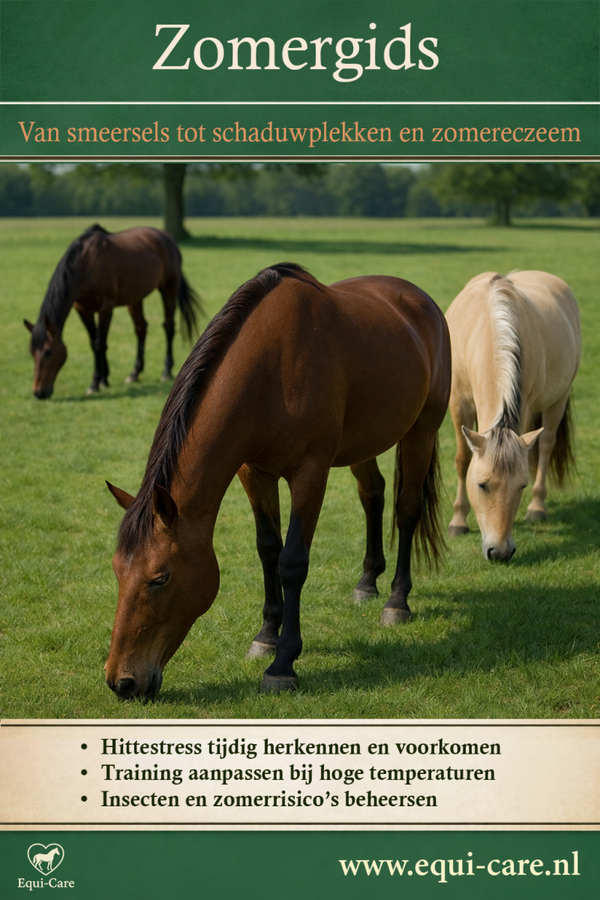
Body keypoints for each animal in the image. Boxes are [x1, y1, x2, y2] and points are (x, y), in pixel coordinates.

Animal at [24, 224, 200, 398]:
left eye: (48, 352)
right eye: (31, 352)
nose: (39, 392)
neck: (87, 264)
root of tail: (167, 237)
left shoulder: (105, 307)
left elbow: (100, 343)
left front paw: (96, 383)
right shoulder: (83, 309)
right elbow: (94, 343)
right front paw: (103, 379)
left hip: (168, 288)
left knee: (168, 326)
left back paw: (166, 371)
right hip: (135, 298)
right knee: (141, 329)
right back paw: (134, 373)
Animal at [105, 263, 451, 700]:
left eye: (159, 578)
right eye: (117, 571)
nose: (121, 682)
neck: (271, 369)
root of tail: (420, 300)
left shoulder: (310, 473)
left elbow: (292, 562)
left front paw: (283, 663)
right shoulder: (254, 473)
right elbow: (268, 549)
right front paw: (266, 636)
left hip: (422, 430)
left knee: (407, 511)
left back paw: (396, 602)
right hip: (364, 442)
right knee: (372, 495)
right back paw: (367, 582)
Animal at [446, 270, 581, 561]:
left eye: (521, 486)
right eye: (482, 485)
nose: (500, 552)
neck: (487, 326)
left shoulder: (526, 407)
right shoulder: (458, 402)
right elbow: (463, 460)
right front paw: (458, 521)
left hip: (558, 399)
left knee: (546, 445)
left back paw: (537, 507)